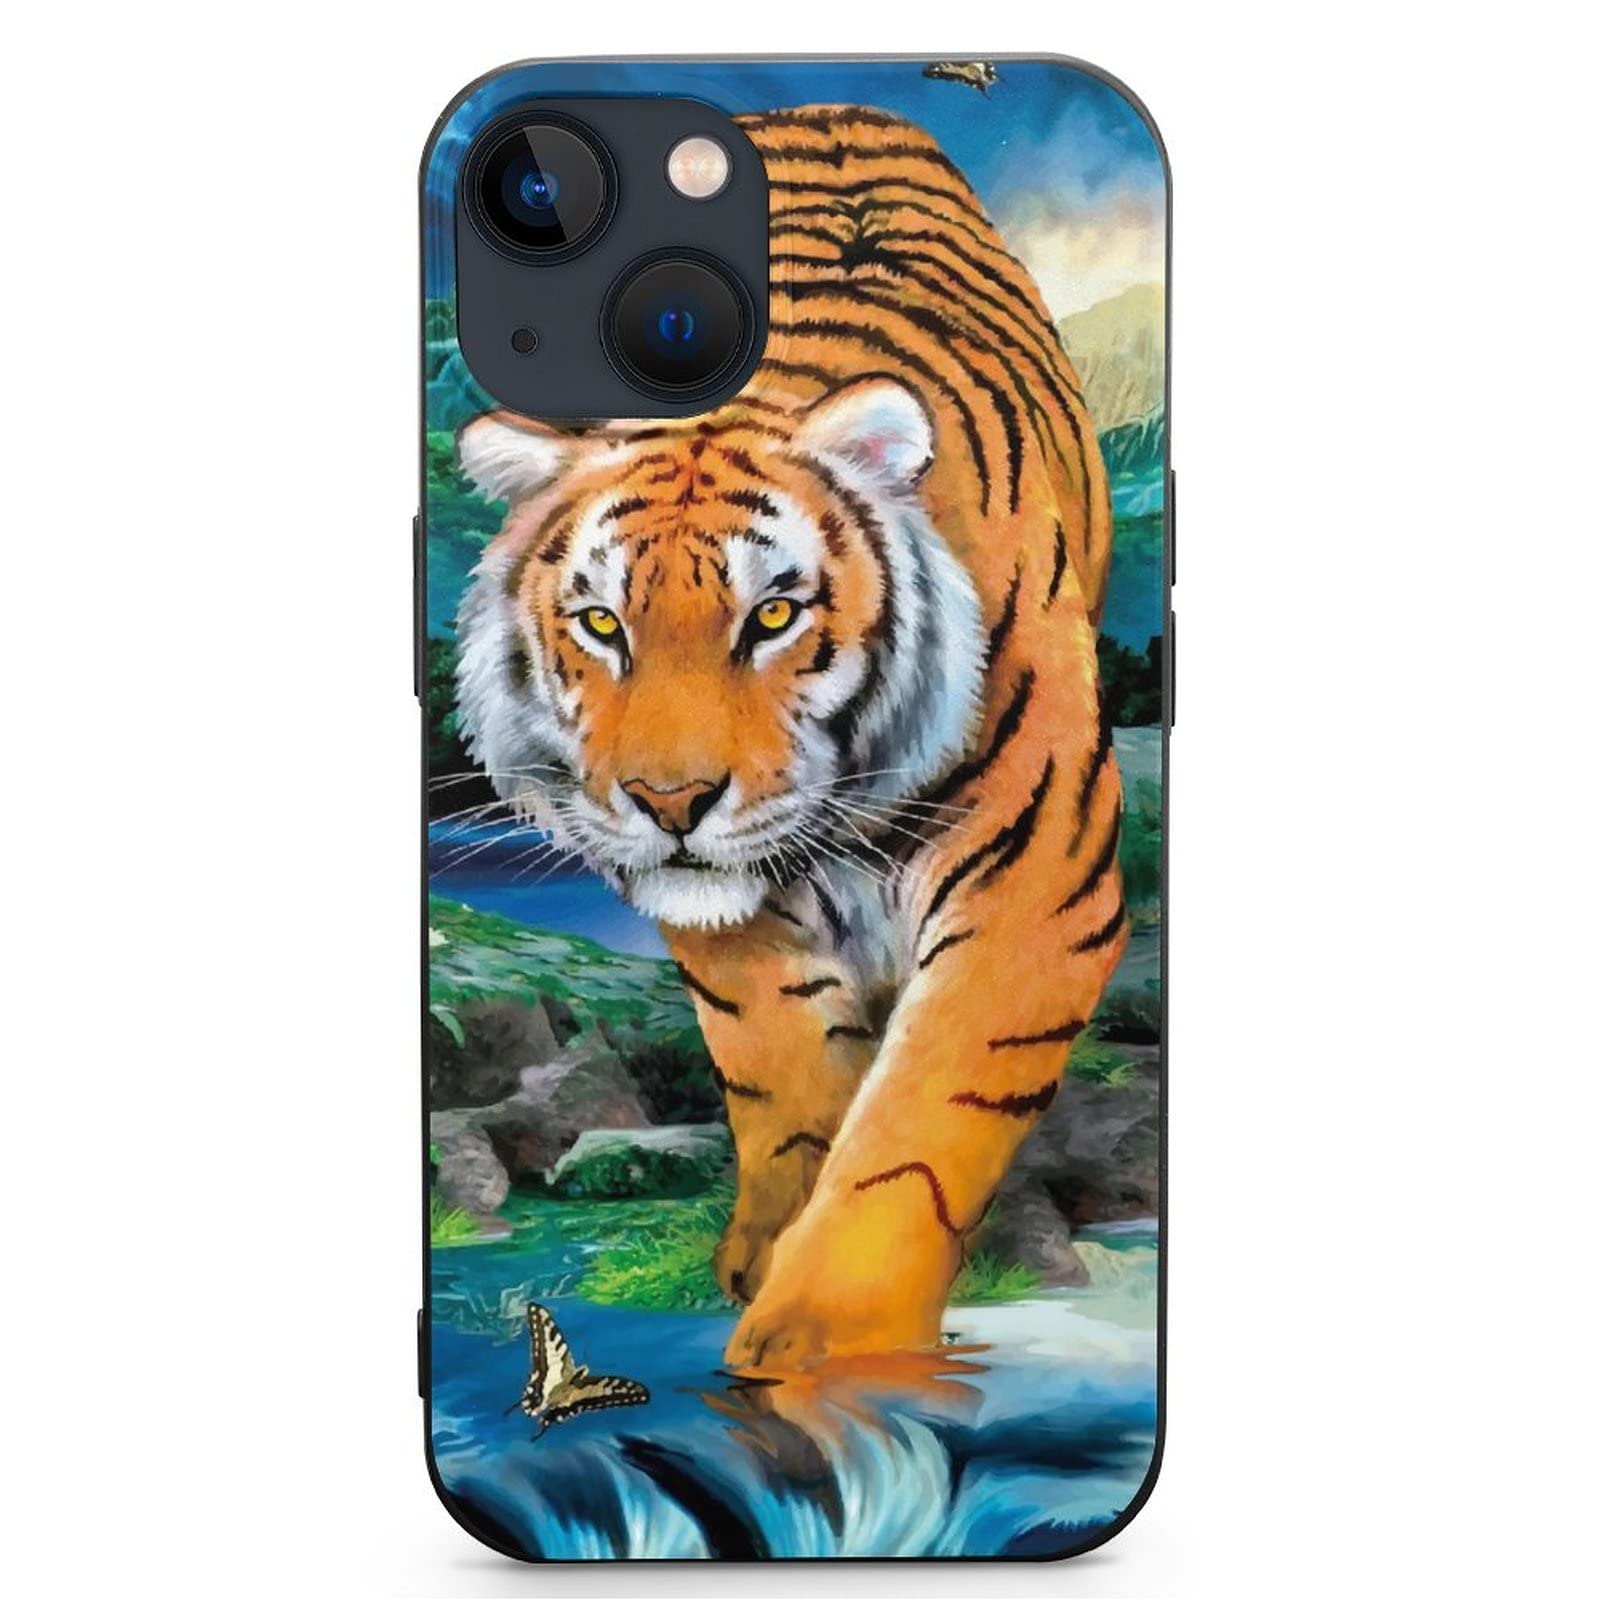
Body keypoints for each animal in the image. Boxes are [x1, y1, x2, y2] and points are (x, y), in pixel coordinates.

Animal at [453, 105, 1129, 1370]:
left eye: (770, 616)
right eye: (601, 624)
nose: (669, 803)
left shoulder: (1037, 889)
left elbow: (913, 1131)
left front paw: (818, 1343)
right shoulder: (733, 932)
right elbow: (790, 1081)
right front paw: (768, 1258)